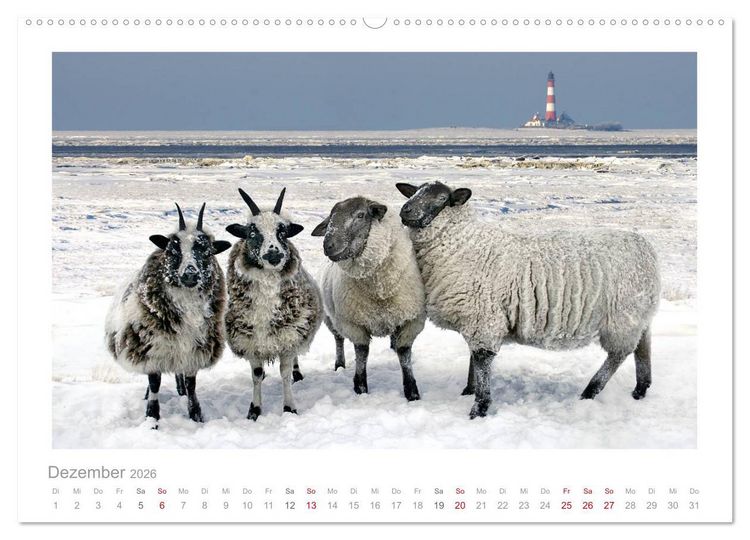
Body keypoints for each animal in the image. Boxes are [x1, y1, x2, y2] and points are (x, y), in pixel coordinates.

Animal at [105, 203, 231, 424]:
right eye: (172, 250)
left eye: (207, 252)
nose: (190, 274)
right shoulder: (153, 348)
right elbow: (154, 382)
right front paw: (152, 417)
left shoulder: (194, 350)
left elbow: (191, 384)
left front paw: (195, 415)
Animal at [224, 187, 323, 420]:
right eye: (251, 233)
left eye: (283, 233)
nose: (274, 254)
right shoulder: (251, 342)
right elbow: (256, 375)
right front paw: (254, 410)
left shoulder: (288, 336)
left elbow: (285, 373)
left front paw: (289, 407)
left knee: (294, 362)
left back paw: (298, 373)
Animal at [311, 197, 426, 401]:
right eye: (330, 218)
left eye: (360, 215)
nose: (328, 245)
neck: (379, 290)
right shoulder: (354, 323)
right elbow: (362, 353)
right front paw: (361, 387)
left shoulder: (410, 320)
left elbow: (404, 354)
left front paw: (412, 392)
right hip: (331, 318)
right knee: (338, 339)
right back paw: (339, 364)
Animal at [396, 181, 661, 419]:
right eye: (414, 192)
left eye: (442, 199)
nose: (404, 211)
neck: (464, 243)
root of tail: (647, 249)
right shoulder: (478, 318)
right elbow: (473, 359)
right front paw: (469, 390)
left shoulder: (483, 317)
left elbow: (481, 360)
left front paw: (479, 408)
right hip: (639, 316)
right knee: (642, 350)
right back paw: (640, 390)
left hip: (622, 318)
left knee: (618, 355)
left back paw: (590, 391)